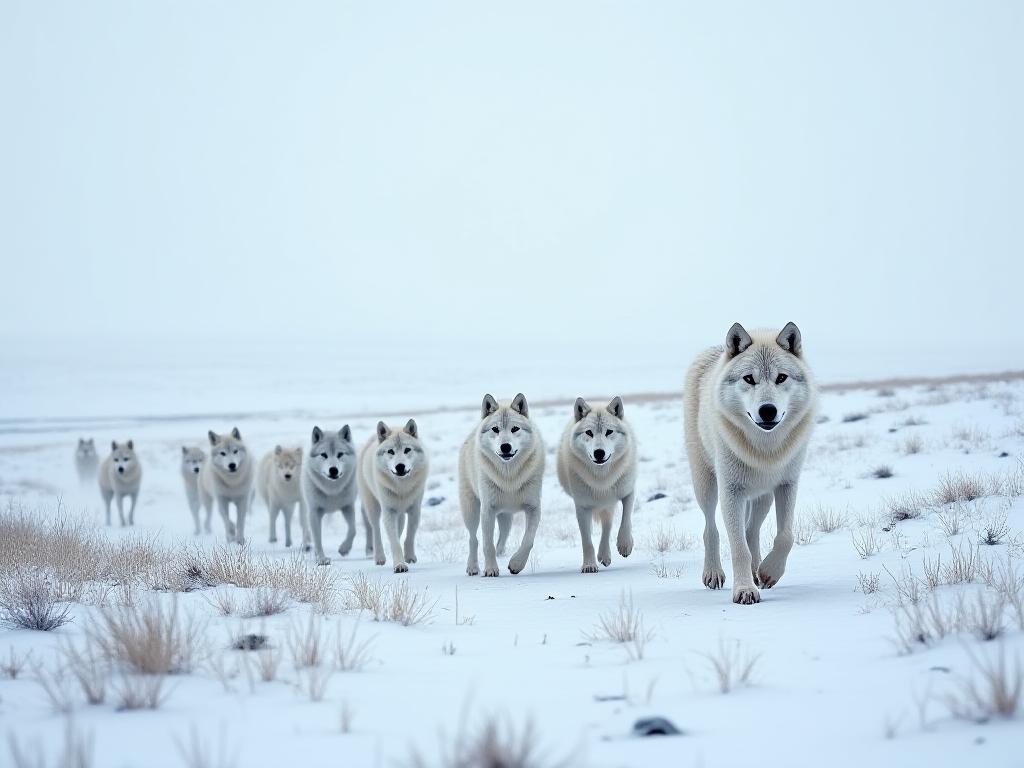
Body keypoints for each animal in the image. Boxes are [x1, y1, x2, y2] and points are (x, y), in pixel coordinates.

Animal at [302, 425, 358, 565]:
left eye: (340, 454)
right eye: (324, 455)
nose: (333, 470)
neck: (332, 490)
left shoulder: (348, 507)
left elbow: (353, 530)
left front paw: (344, 549)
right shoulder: (314, 512)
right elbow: (317, 539)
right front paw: (322, 559)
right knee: (305, 528)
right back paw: (306, 545)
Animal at [358, 419, 429, 573]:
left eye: (407, 450)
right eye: (391, 451)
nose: (400, 466)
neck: (402, 488)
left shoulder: (415, 510)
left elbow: (409, 535)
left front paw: (410, 556)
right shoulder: (389, 512)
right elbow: (394, 541)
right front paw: (399, 565)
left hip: (400, 514)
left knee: (400, 529)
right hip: (373, 508)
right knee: (376, 530)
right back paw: (379, 558)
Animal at [459, 393, 544, 577]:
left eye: (515, 429)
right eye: (495, 429)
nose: (505, 446)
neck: (509, 477)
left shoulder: (533, 508)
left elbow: (528, 541)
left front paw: (516, 565)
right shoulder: (487, 510)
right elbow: (487, 544)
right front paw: (491, 570)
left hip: (506, 518)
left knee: (501, 539)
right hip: (471, 511)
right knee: (473, 539)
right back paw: (472, 567)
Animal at [557, 396, 638, 573]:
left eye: (609, 432)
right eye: (589, 432)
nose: (599, 453)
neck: (602, 478)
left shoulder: (628, 492)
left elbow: (626, 520)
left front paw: (625, 545)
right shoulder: (582, 507)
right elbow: (587, 541)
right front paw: (589, 565)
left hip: (608, 504)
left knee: (608, 526)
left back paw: (606, 555)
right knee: (606, 526)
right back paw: (603, 556)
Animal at [683, 322, 817, 604]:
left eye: (781, 378)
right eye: (749, 379)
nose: (767, 410)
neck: (766, 450)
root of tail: (714, 349)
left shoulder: (788, 485)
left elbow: (786, 537)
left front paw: (768, 572)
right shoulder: (731, 492)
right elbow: (738, 548)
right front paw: (744, 590)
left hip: (762, 496)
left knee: (751, 530)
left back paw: (757, 570)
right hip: (707, 486)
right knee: (711, 528)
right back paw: (713, 573)